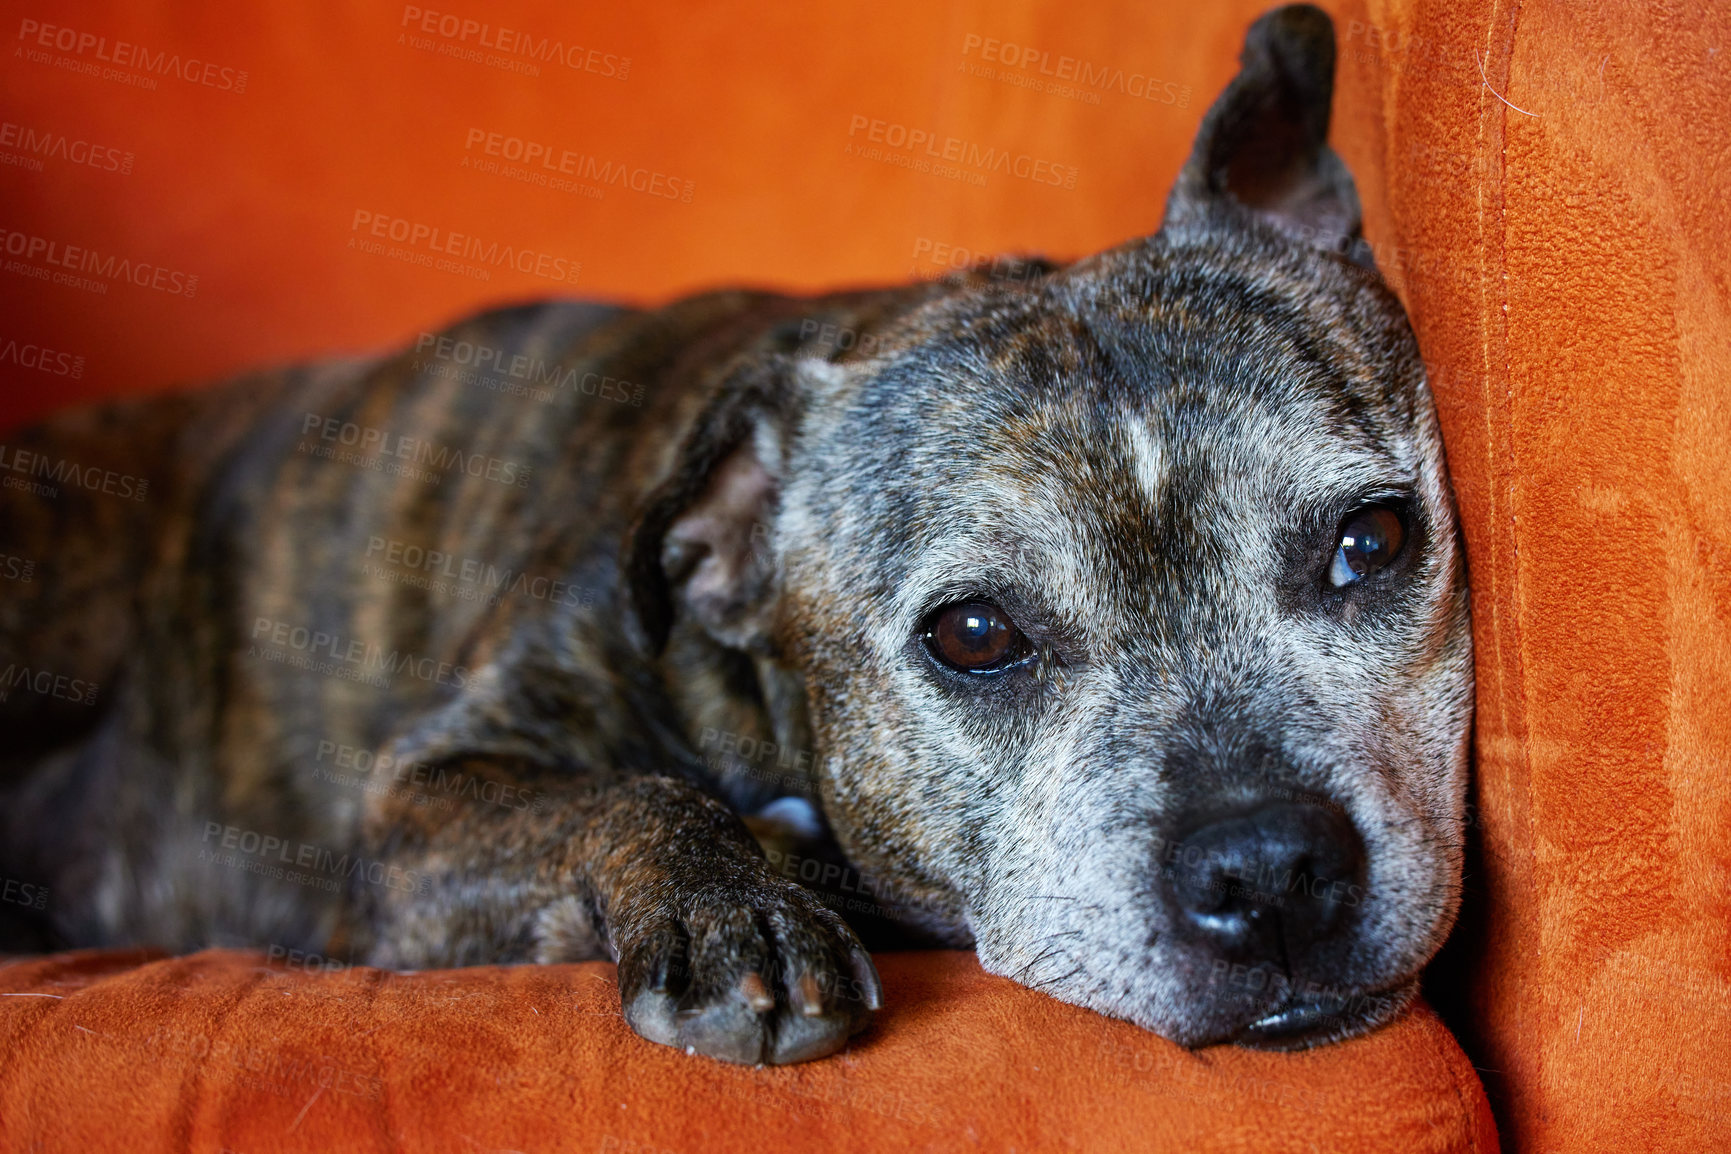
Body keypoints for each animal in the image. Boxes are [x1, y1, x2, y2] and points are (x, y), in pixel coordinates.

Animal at [0, 6, 1474, 1065]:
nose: (1266, 867)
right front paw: (735, 908)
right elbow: (630, 793)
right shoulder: (421, 802)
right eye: (974, 634)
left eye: (1370, 542)